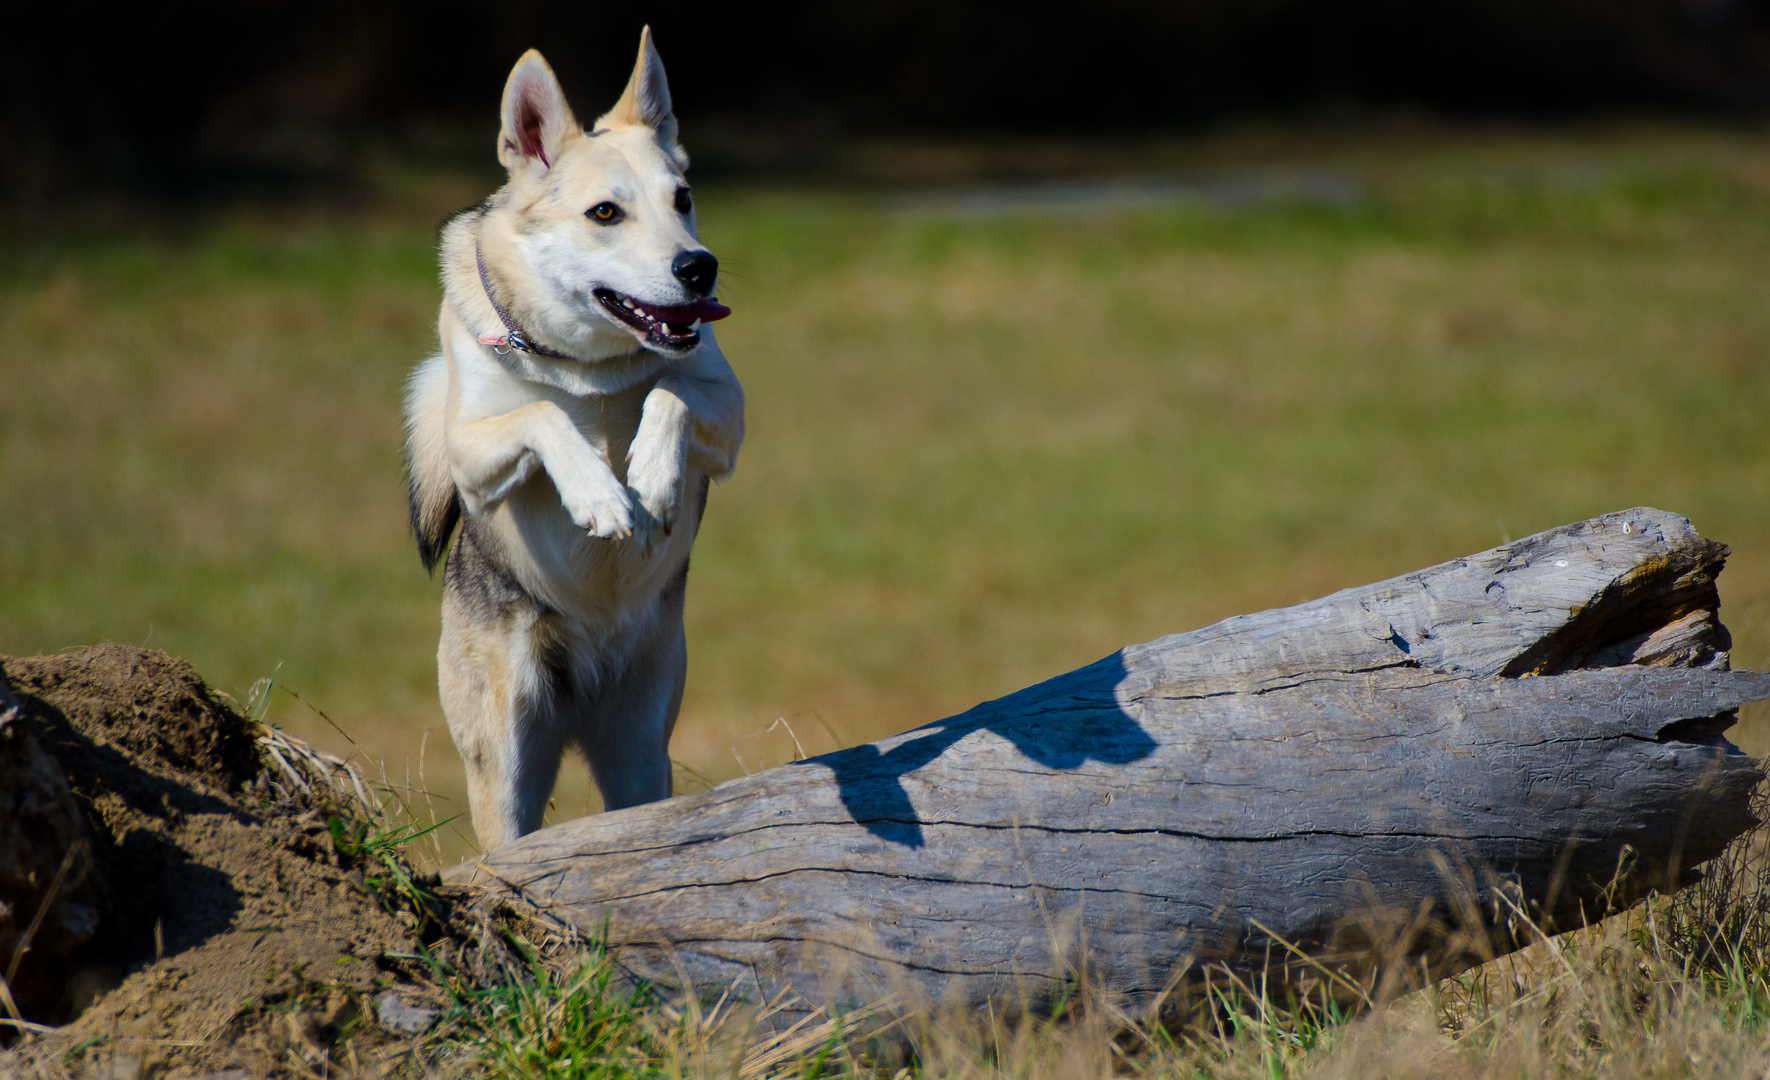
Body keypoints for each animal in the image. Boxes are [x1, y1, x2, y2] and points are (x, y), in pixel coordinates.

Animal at [405, 27, 743, 849]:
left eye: (682, 200)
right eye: (605, 213)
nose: (700, 267)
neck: (589, 366)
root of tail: (585, 685)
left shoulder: (730, 411)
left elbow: (668, 392)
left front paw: (649, 479)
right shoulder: (470, 449)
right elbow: (542, 417)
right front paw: (600, 494)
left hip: (642, 748)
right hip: (506, 766)